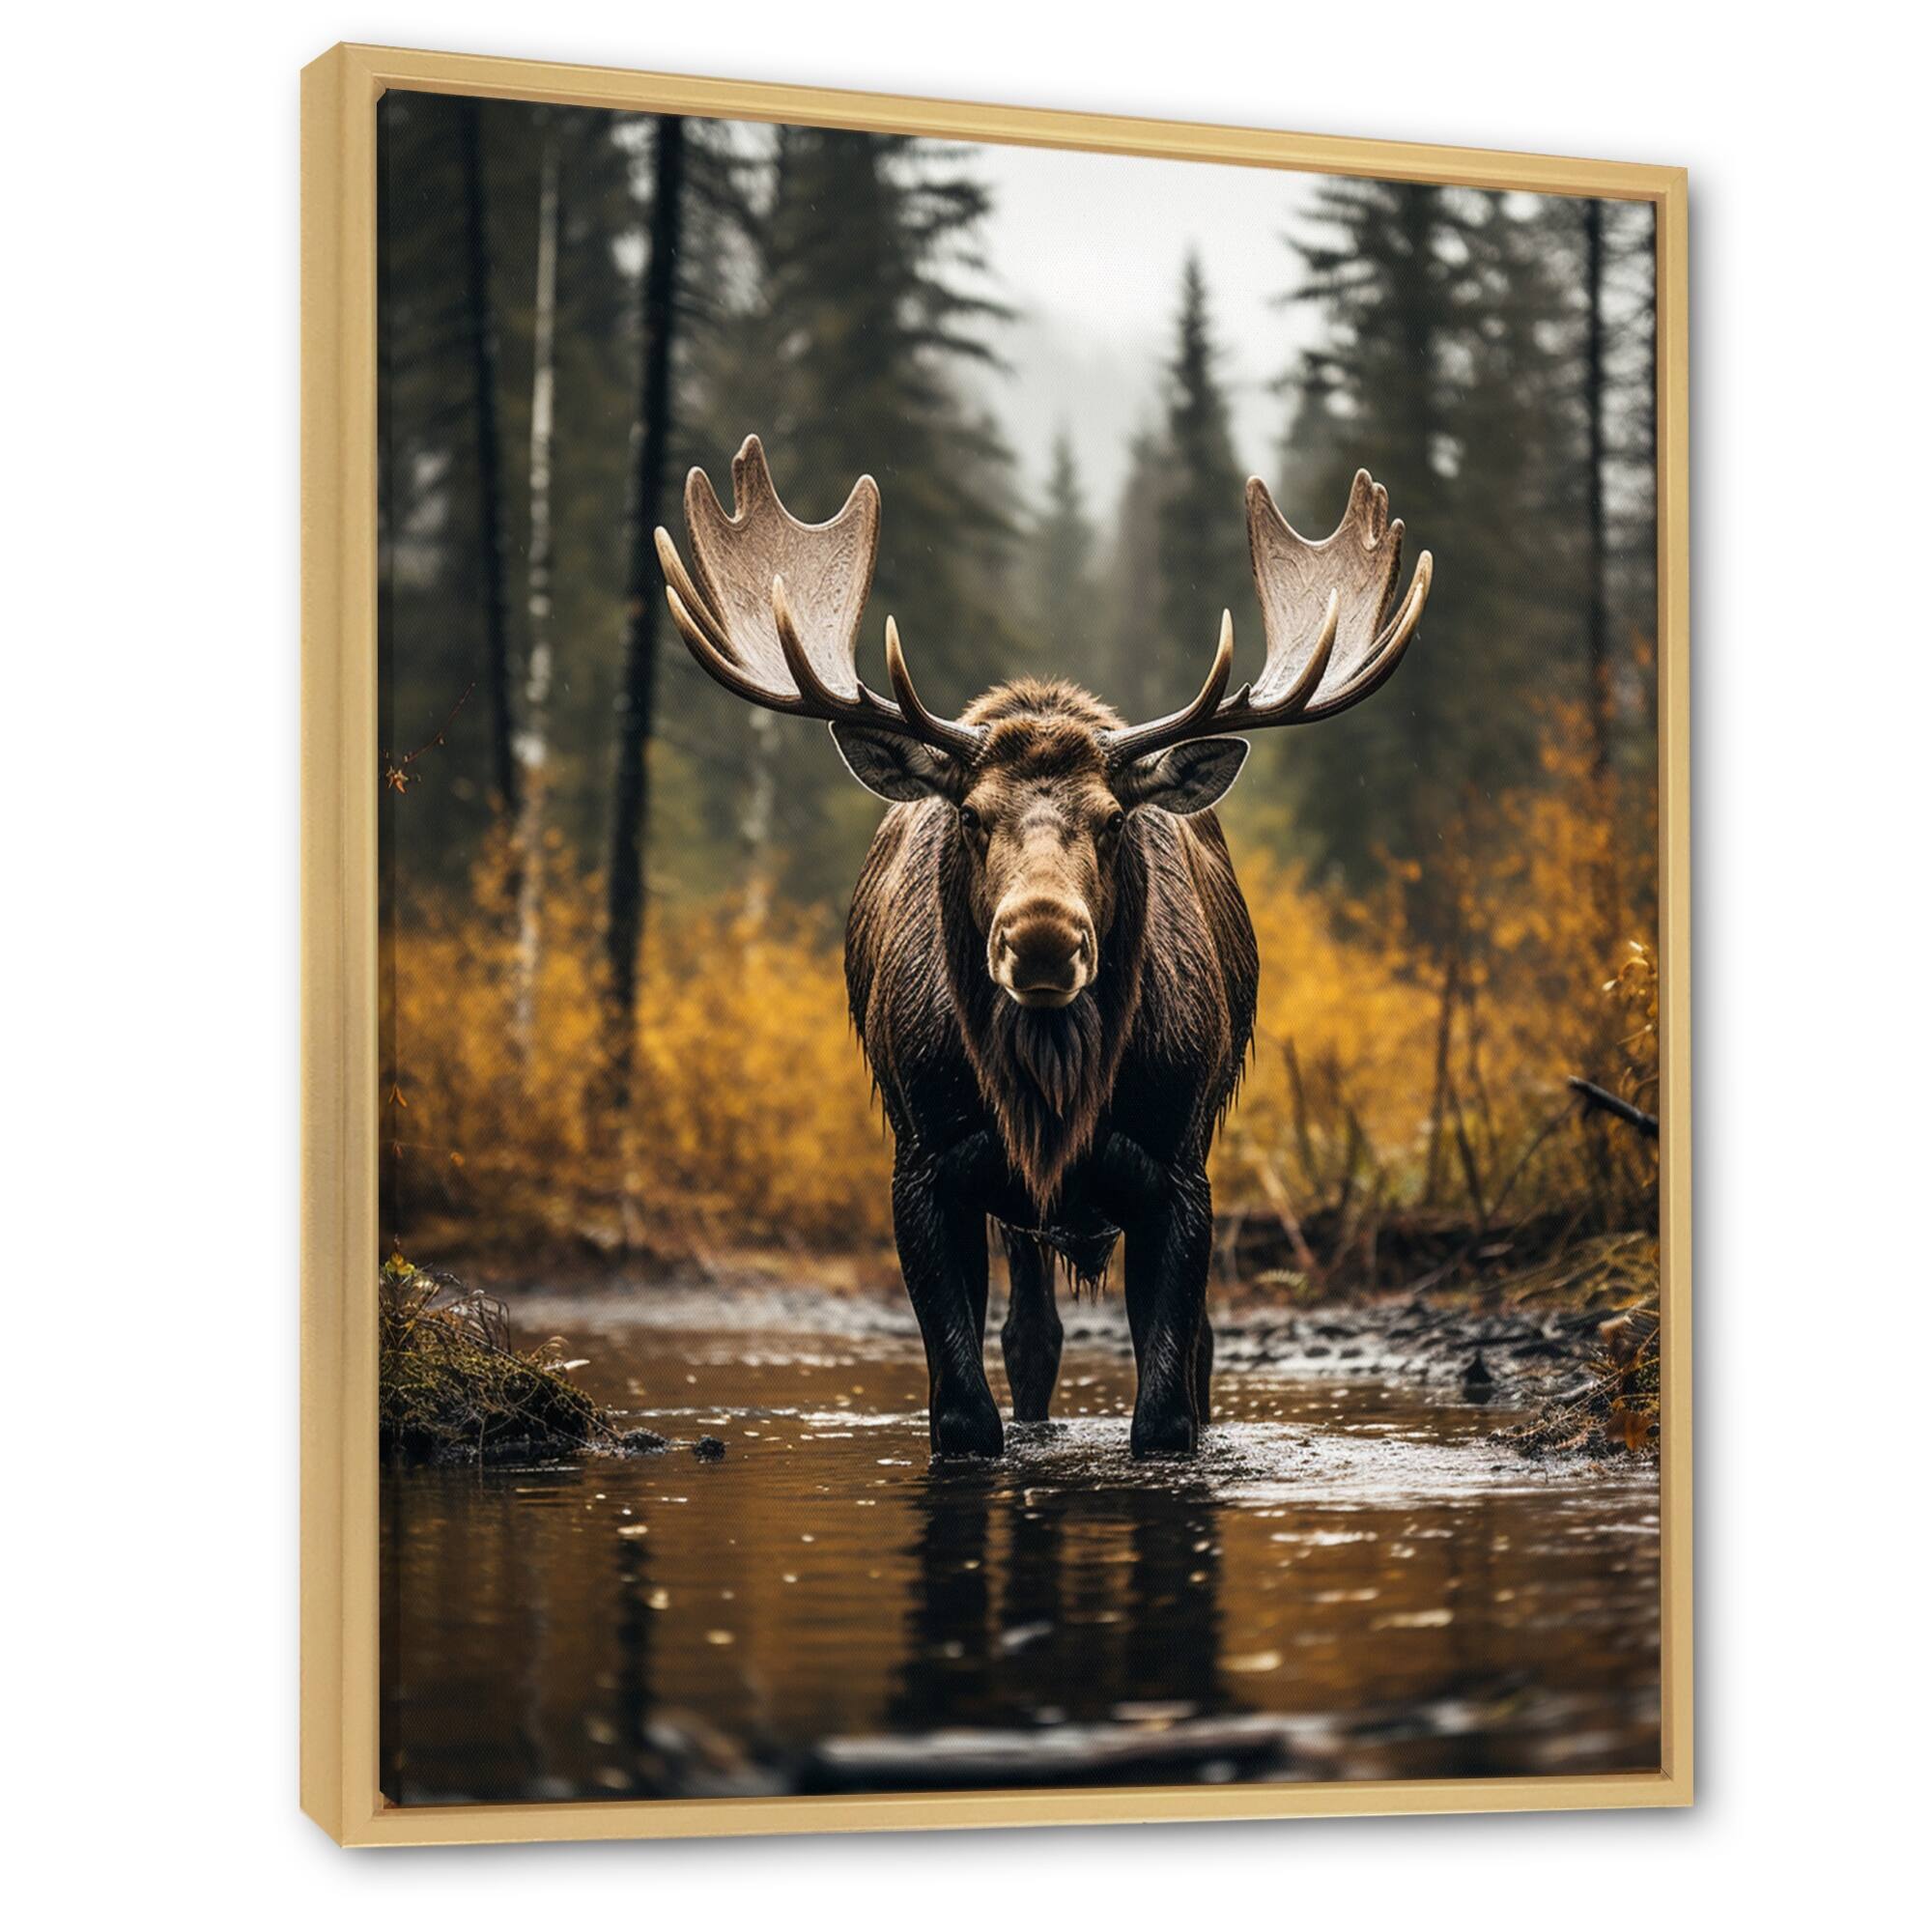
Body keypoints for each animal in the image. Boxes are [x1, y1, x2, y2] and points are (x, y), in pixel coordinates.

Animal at [656, 436, 1431, 1459]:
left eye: (1114, 819)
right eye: (971, 815)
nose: (1042, 940)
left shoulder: (1179, 1170)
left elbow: (1168, 1408)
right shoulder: (924, 1166)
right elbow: (961, 1410)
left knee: (1188, 1343)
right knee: (1032, 1334)